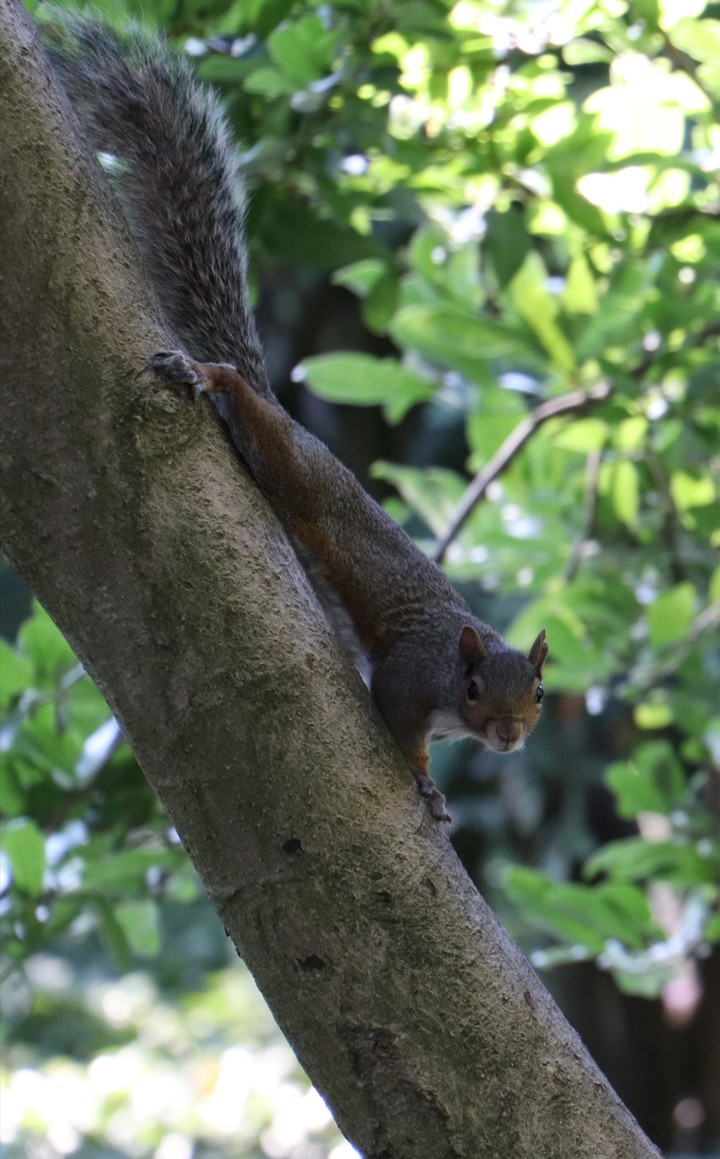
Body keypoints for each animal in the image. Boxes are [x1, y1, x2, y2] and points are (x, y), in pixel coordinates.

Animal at [43, 14, 548, 822]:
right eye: (472, 689)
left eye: (538, 691)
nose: (506, 735)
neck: (453, 662)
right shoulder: (406, 682)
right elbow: (401, 728)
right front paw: (427, 784)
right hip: (294, 463)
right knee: (250, 412)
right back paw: (210, 374)